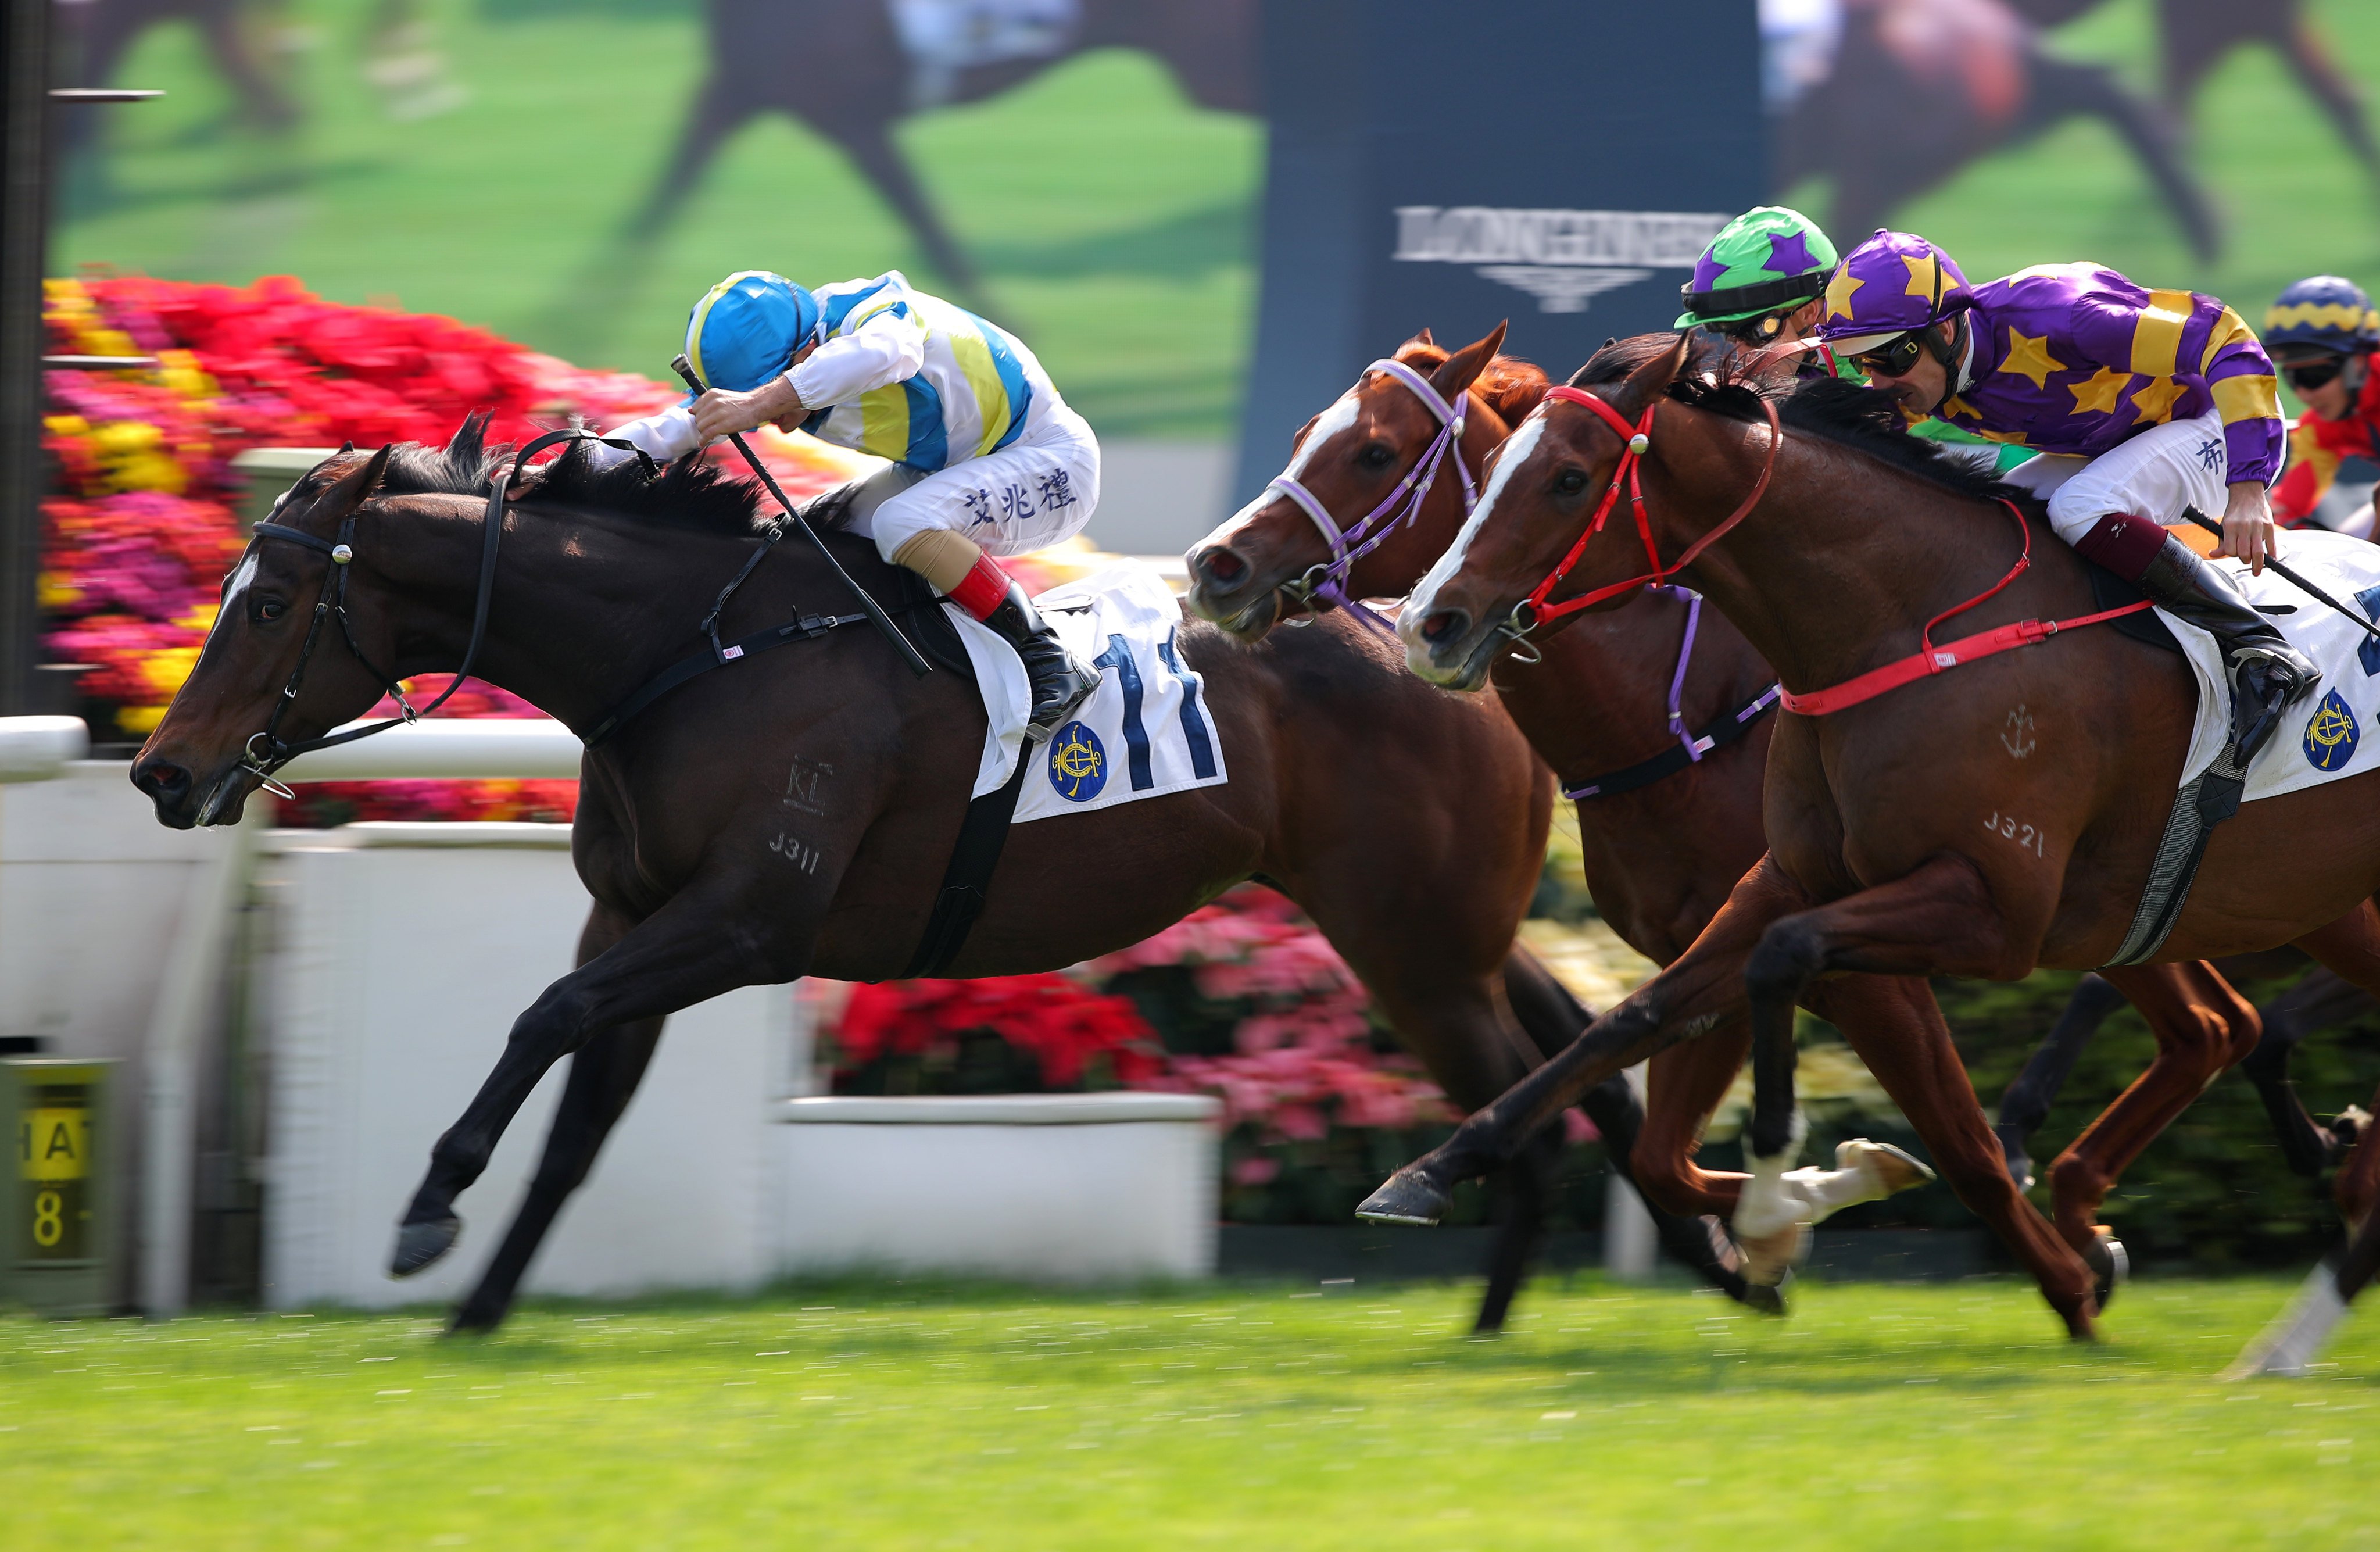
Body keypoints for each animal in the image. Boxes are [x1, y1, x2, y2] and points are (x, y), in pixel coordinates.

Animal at [126, 421, 1733, 1333]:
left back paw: (1518, 1305)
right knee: (1576, 1041)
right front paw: (478, 1306)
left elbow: (543, 1019)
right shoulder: (638, 914)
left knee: (1519, 1095)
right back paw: (1708, 1254)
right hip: (1442, 930)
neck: (690, 652)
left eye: (268, 600)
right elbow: (580, 1105)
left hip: (1405, 943)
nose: (163, 773)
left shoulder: (747, 921)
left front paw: (428, 1209)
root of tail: (1442, 640)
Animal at [1180, 331, 2332, 1314]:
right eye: (1306, 435)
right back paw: (2118, 1206)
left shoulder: (1876, 952)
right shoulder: (1724, 934)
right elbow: (1654, 1128)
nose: (1213, 566)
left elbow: (1948, 1140)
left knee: (2210, 1024)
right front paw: (1786, 1224)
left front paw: (1832, 1212)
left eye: (1374, 452)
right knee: (2213, 1025)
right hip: (2132, 898)